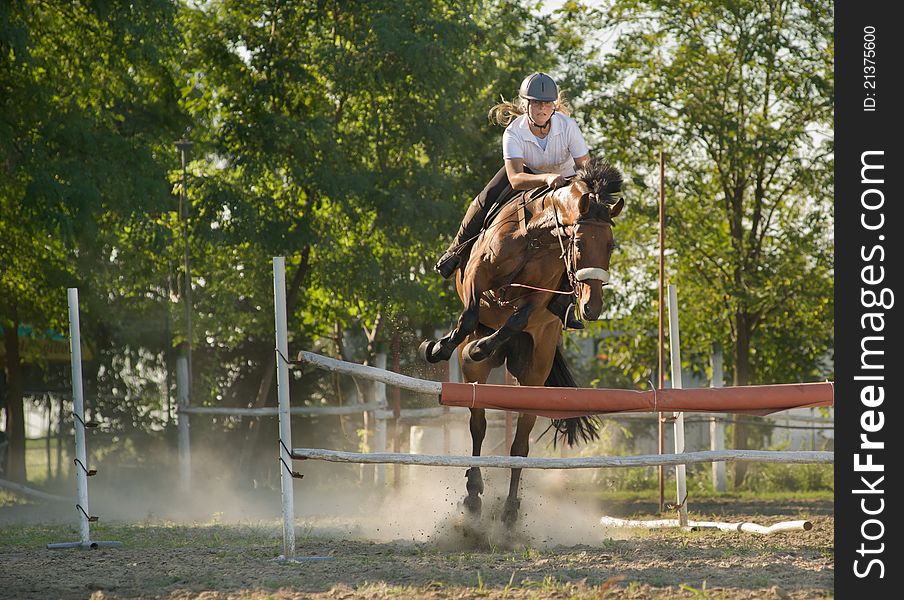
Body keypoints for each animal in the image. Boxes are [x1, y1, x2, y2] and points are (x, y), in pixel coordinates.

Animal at [420, 158, 624, 524]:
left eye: (610, 246)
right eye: (578, 243)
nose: (592, 307)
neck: (535, 237)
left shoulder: (538, 297)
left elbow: (517, 318)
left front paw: (481, 346)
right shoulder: (477, 275)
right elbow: (469, 315)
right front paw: (441, 347)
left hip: (533, 378)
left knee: (519, 446)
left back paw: (510, 510)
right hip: (478, 381)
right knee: (478, 425)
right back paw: (473, 494)